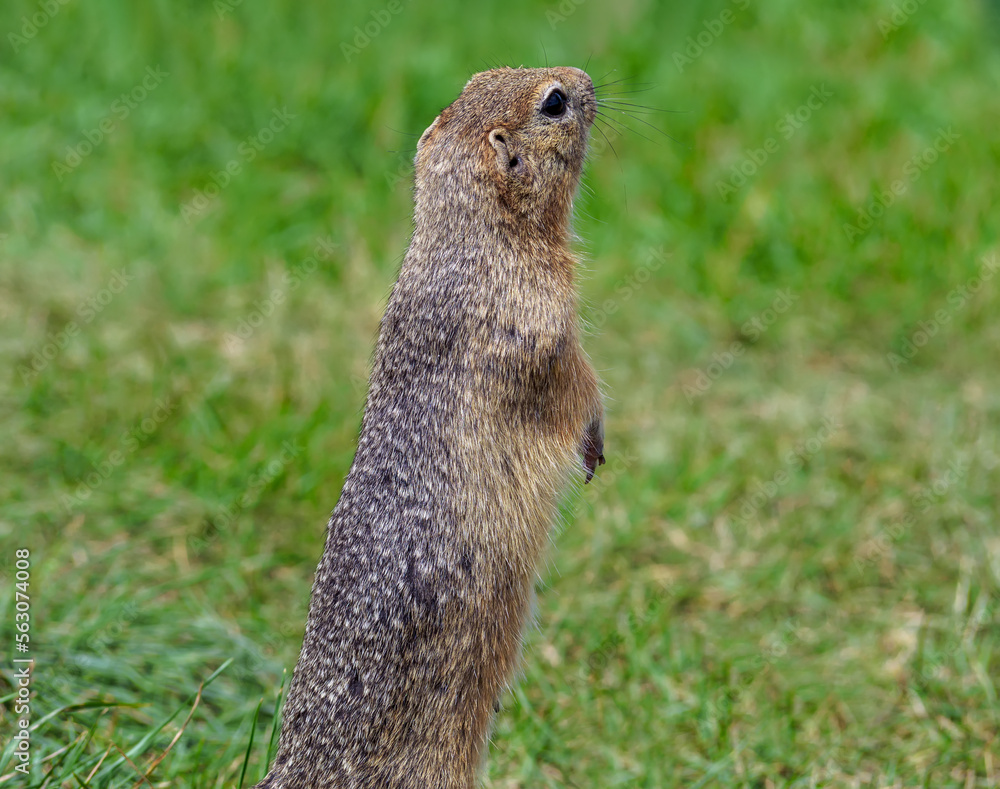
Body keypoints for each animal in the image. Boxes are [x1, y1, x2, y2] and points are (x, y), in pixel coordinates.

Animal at [254, 67, 604, 788]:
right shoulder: (544, 327)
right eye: (554, 102)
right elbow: (577, 389)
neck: (464, 235)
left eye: (478, 77)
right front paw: (594, 443)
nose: (586, 78)